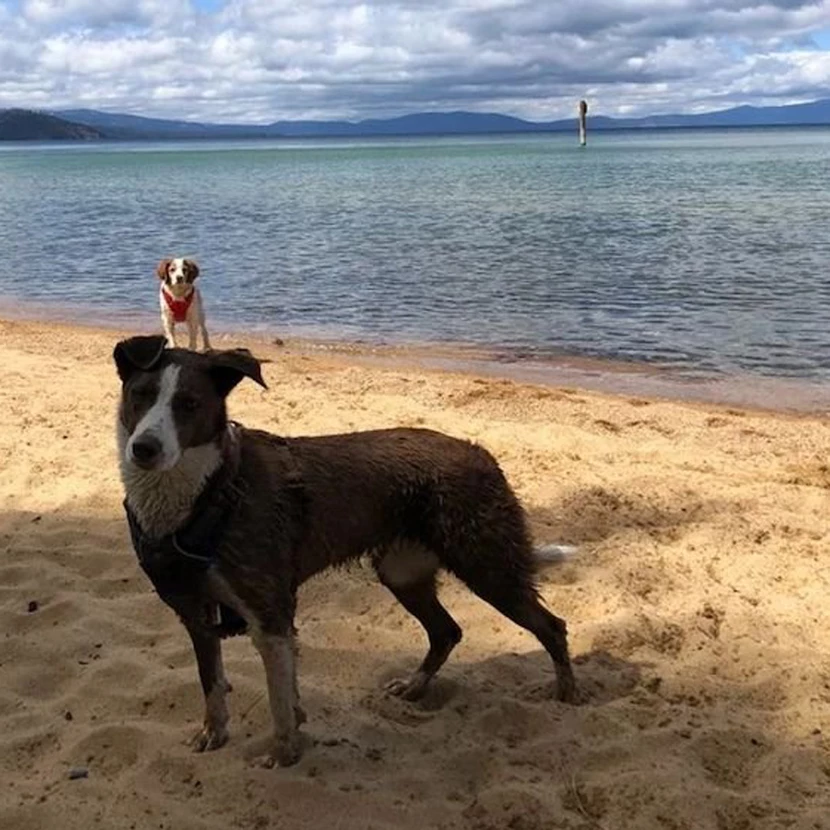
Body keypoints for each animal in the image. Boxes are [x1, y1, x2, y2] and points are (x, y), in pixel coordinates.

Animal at [113, 335, 577, 767]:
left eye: (189, 404)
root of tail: (482, 454)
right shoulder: (196, 616)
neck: (209, 492)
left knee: (551, 627)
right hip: (402, 572)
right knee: (447, 631)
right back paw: (415, 685)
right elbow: (213, 683)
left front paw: (285, 755)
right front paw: (215, 733)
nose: (144, 449)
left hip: (486, 565)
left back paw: (568, 695)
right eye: (140, 394)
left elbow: (279, 703)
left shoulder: (270, 615)